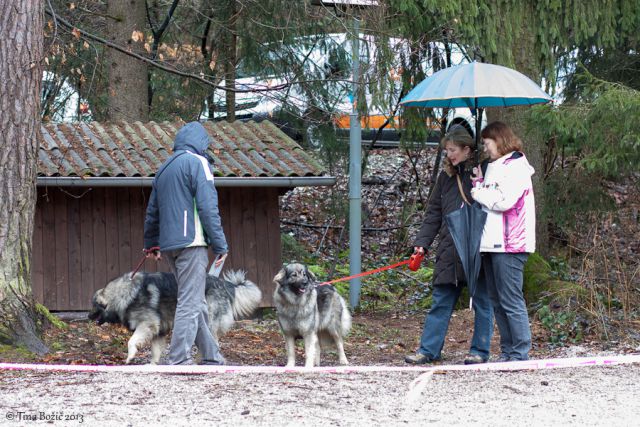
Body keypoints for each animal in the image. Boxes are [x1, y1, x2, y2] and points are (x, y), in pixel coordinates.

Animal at [89, 270, 262, 364]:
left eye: (94, 306)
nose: (88, 316)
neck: (125, 294)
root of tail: (224, 284)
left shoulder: (147, 325)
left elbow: (132, 341)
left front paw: (130, 357)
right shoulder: (158, 330)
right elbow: (155, 350)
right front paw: (152, 364)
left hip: (209, 322)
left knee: (213, 342)